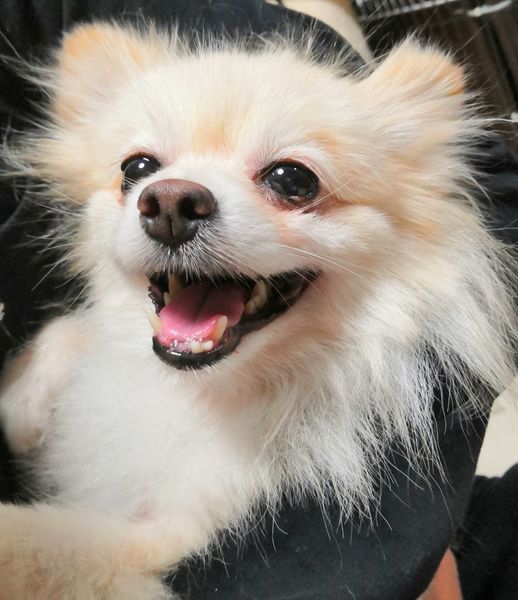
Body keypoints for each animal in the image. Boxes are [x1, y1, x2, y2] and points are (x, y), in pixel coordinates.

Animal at [0, 13, 515, 600]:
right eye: (137, 168)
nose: (169, 201)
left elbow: (43, 543)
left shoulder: (168, 532)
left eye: (292, 179)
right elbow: (68, 332)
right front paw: (21, 403)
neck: (198, 391)